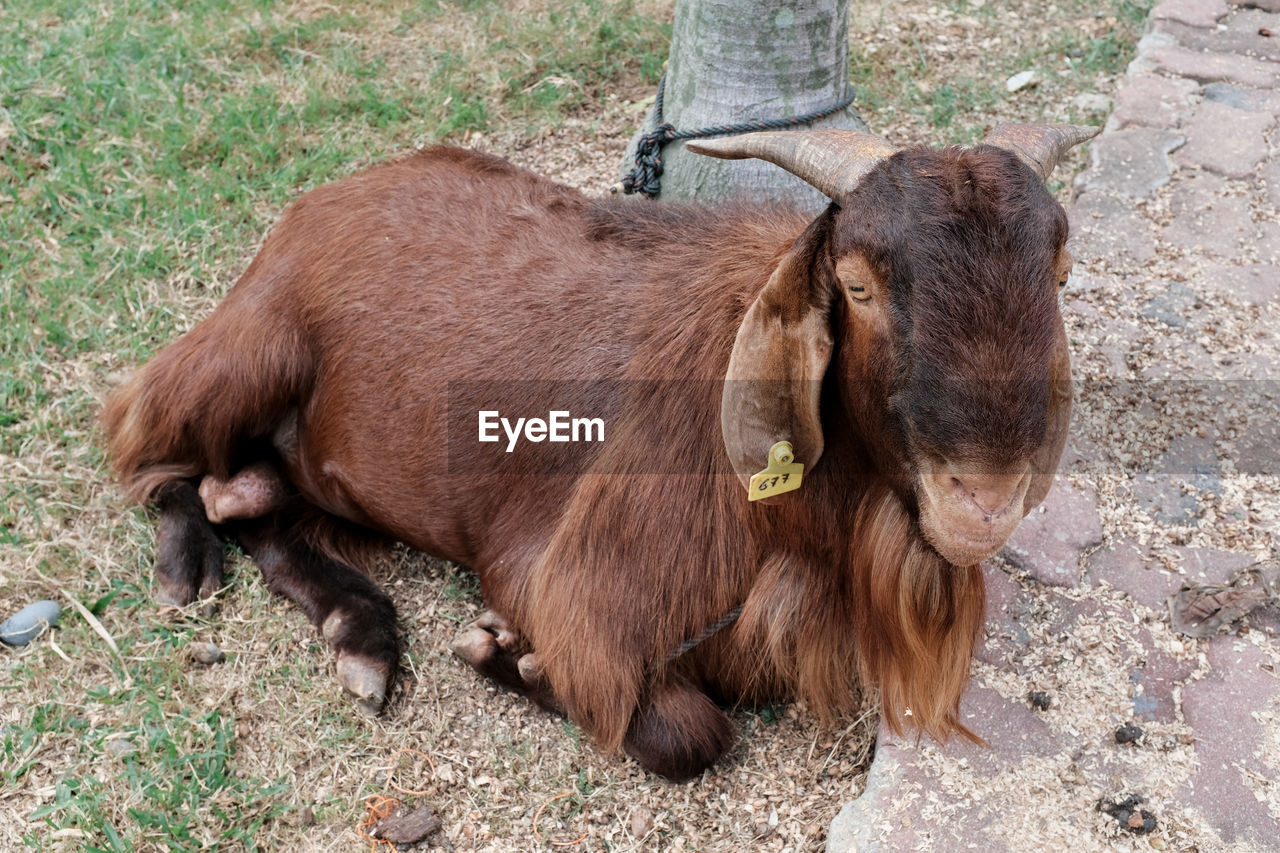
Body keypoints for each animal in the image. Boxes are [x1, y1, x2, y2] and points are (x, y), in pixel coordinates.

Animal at [104, 122, 1095, 778]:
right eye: (856, 285)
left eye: (1057, 272)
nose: (983, 500)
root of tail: (324, 198)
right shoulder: (570, 582)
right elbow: (691, 734)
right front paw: (507, 656)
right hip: (243, 353)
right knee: (144, 444)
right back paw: (187, 565)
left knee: (252, 502)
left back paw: (363, 637)